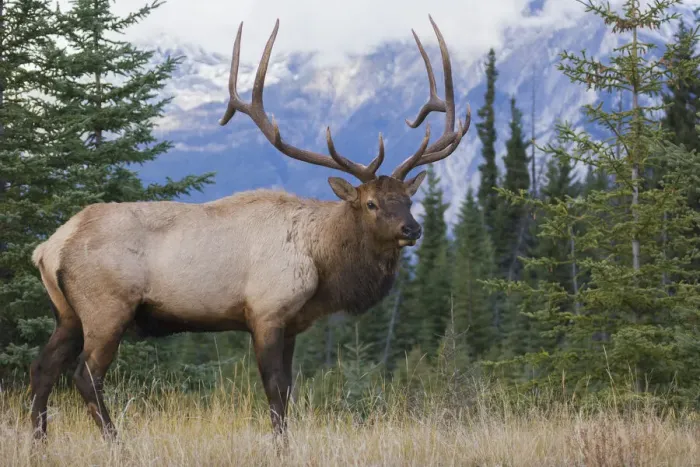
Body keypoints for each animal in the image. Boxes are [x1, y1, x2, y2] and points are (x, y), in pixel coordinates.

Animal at [28, 15, 470, 441]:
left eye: (408, 200)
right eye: (371, 203)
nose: (412, 229)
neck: (322, 263)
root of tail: (48, 248)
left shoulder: (293, 324)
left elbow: (289, 390)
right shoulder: (266, 311)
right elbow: (274, 390)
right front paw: (281, 446)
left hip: (67, 313)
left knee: (43, 369)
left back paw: (40, 441)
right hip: (107, 307)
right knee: (85, 376)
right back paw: (117, 442)